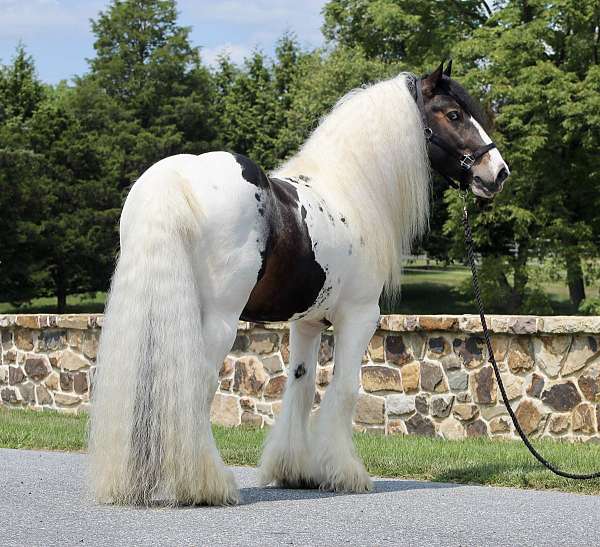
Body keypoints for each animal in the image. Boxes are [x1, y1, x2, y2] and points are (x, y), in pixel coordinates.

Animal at [90, 61, 510, 506]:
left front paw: (293, 470)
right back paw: (208, 484)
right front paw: (346, 473)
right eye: (454, 114)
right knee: (195, 387)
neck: (349, 192)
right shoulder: (360, 316)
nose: (497, 173)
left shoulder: (306, 323)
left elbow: (301, 386)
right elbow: (344, 390)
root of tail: (177, 179)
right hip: (218, 320)